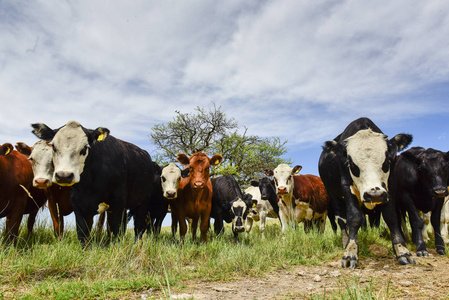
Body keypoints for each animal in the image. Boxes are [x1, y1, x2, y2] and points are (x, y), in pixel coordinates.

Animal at [316, 116, 414, 268]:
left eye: (387, 160)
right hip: (333, 194)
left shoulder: (389, 187)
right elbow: (354, 218)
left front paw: (402, 251)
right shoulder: (346, 186)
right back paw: (345, 243)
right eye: (350, 163)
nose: (374, 194)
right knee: (342, 220)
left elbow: (391, 217)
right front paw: (350, 252)